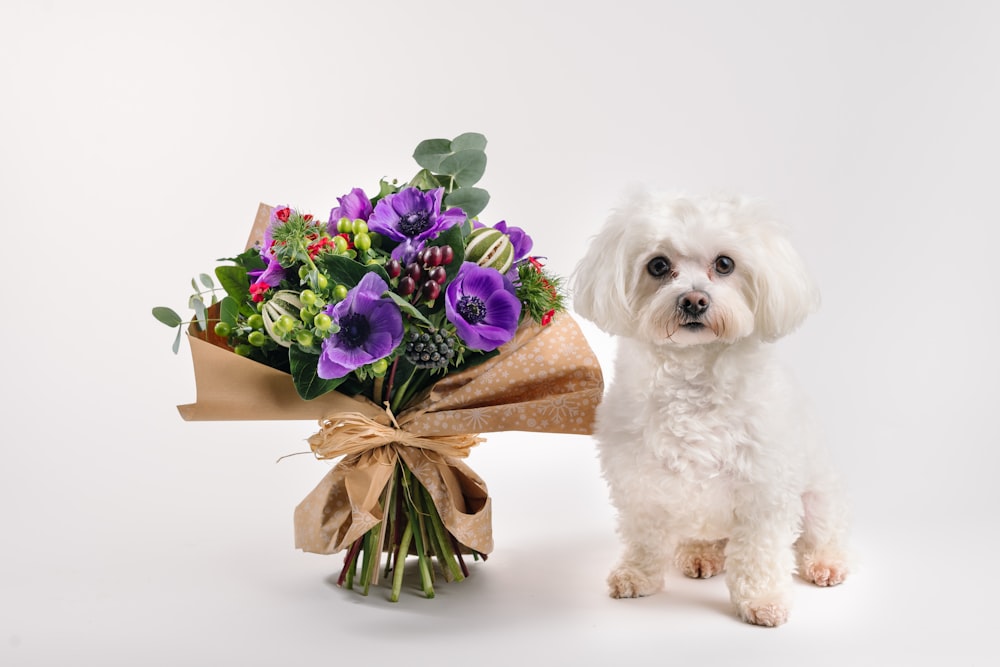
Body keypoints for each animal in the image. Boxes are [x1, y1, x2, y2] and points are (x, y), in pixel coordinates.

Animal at [576, 189, 848, 628]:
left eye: (724, 264)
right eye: (658, 265)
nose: (693, 300)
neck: (693, 376)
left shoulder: (765, 491)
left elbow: (759, 552)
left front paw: (762, 599)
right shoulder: (639, 482)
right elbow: (643, 537)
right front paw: (637, 574)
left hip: (819, 496)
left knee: (822, 533)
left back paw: (826, 562)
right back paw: (701, 554)